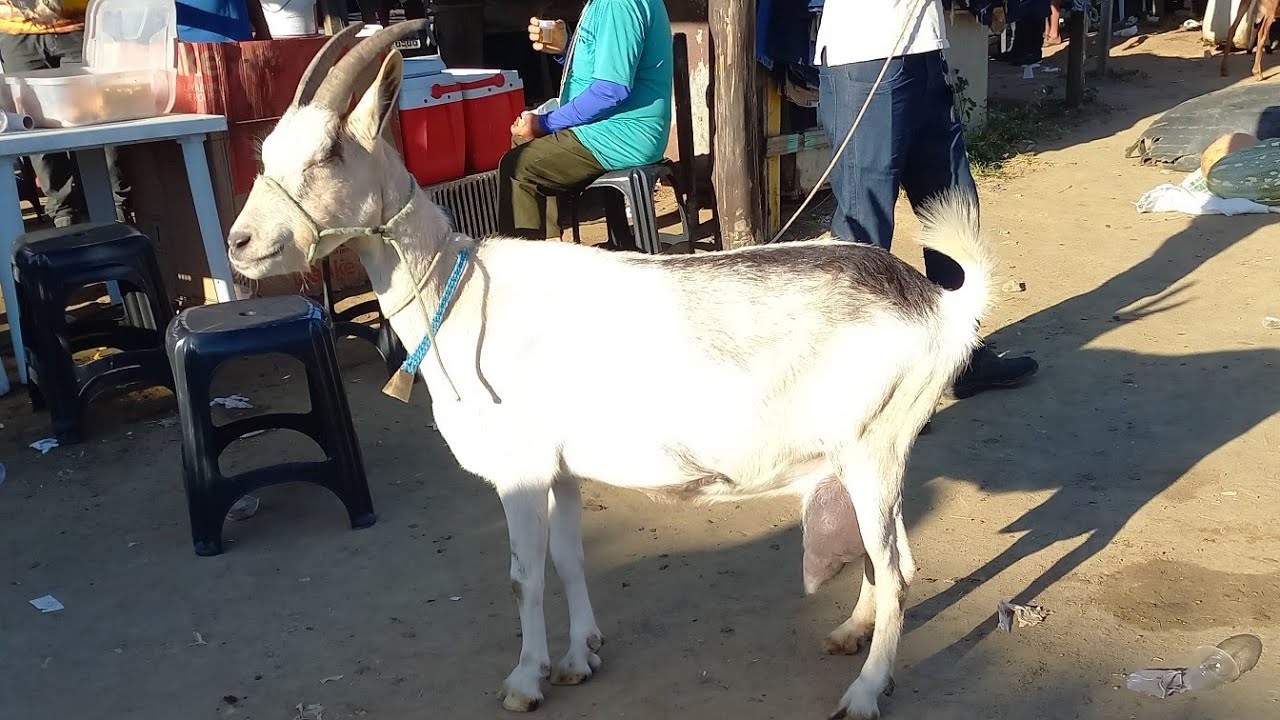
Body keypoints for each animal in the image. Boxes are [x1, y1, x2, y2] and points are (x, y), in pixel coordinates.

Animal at [225, 21, 992, 719]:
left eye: (328, 152)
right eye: (265, 152)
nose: (240, 243)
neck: (461, 294)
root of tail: (937, 302)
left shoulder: (520, 468)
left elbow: (524, 577)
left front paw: (525, 680)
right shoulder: (559, 469)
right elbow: (569, 559)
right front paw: (577, 657)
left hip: (875, 445)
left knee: (897, 570)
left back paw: (865, 691)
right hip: (866, 456)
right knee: (881, 555)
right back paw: (851, 632)